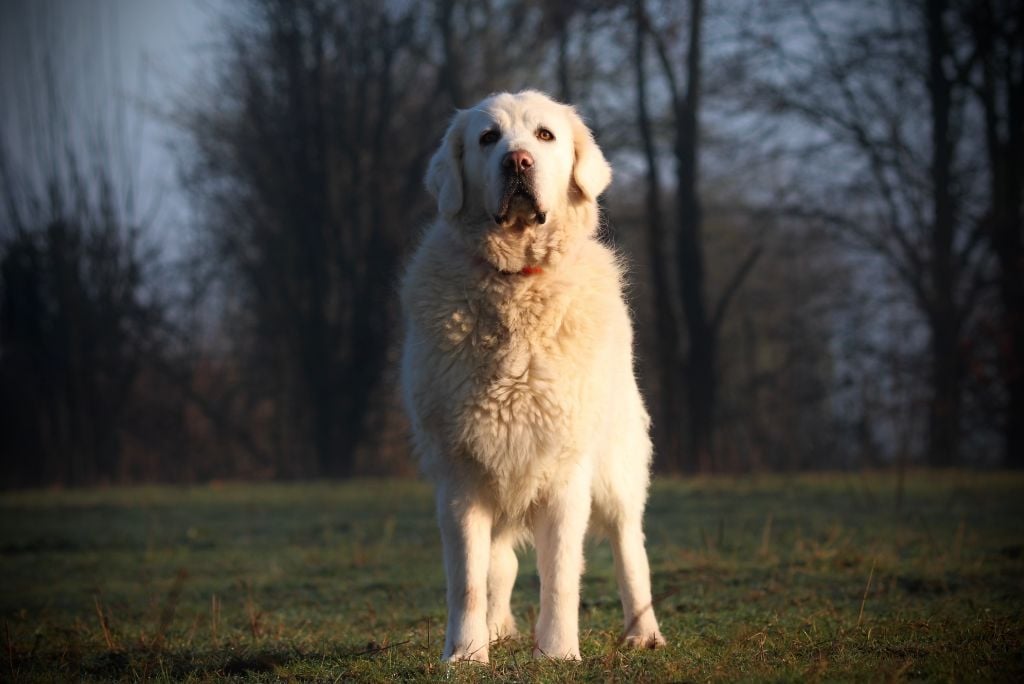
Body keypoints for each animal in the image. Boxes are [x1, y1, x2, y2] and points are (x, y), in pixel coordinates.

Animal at [399, 90, 663, 663]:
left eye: (544, 136)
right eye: (488, 138)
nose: (517, 161)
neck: (517, 284)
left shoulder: (565, 471)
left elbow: (561, 574)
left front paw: (559, 653)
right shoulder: (463, 473)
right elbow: (468, 579)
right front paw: (465, 655)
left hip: (615, 468)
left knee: (630, 545)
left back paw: (644, 633)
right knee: (500, 563)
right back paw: (496, 629)